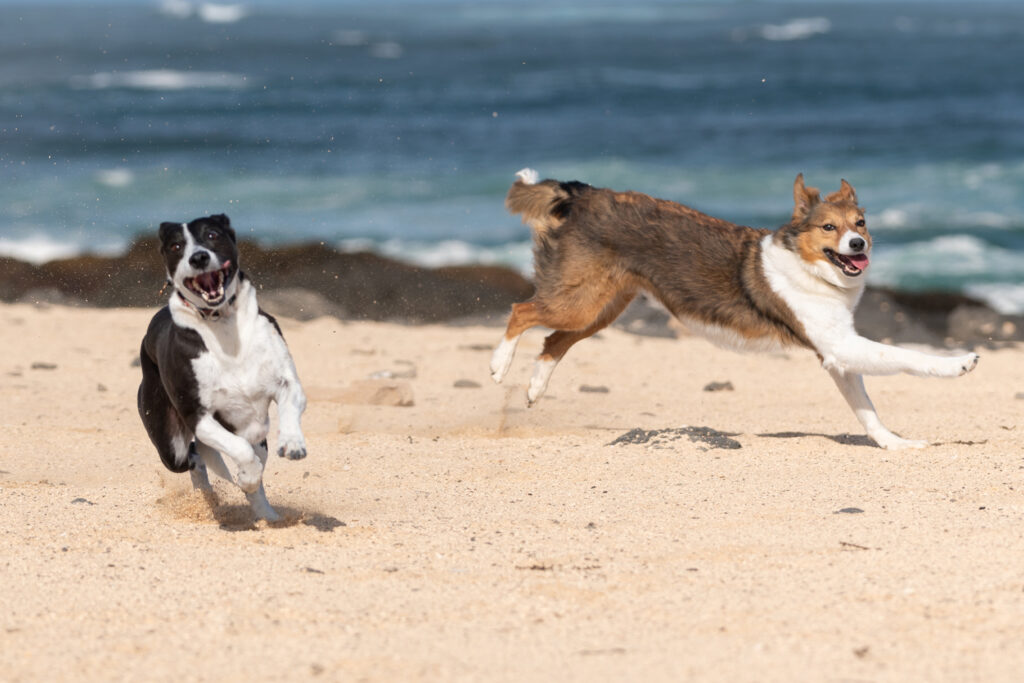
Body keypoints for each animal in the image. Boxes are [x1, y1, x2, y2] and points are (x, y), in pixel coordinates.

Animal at [139, 216, 307, 520]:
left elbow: (290, 406)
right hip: (170, 444)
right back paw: (207, 495)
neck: (223, 324)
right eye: (176, 246)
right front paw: (247, 476)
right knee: (193, 456)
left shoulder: (286, 382)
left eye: (212, 235)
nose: (198, 258)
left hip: (254, 434)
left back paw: (267, 515)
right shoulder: (199, 417)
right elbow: (240, 452)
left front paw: (292, 442)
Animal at [491, 168, 978, 448]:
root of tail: (584, 194)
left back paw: (535, 388)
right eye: (829, 227)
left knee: (554, 340)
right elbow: (906, 355)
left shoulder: (837, 355)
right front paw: (957, 363)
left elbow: (867, 410)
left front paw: (894, 443)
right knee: (520, 311)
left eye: (860, 223)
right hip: (580, 302)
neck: (810, 267)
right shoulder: (841, 346)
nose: (858, 245)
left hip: (603, 307)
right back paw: (499, 365)